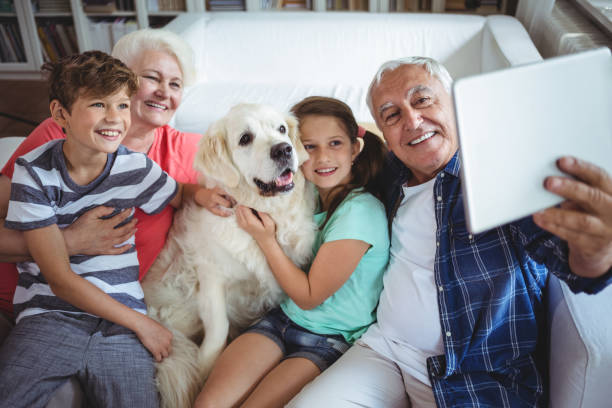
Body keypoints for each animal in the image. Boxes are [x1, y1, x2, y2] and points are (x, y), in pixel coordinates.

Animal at [141, 103, 316, 406]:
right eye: (245, 138)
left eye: (282, 129)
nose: (283, 149)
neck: (266, 214)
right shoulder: (211, 276)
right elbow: (219, 328)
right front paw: (205, 368)